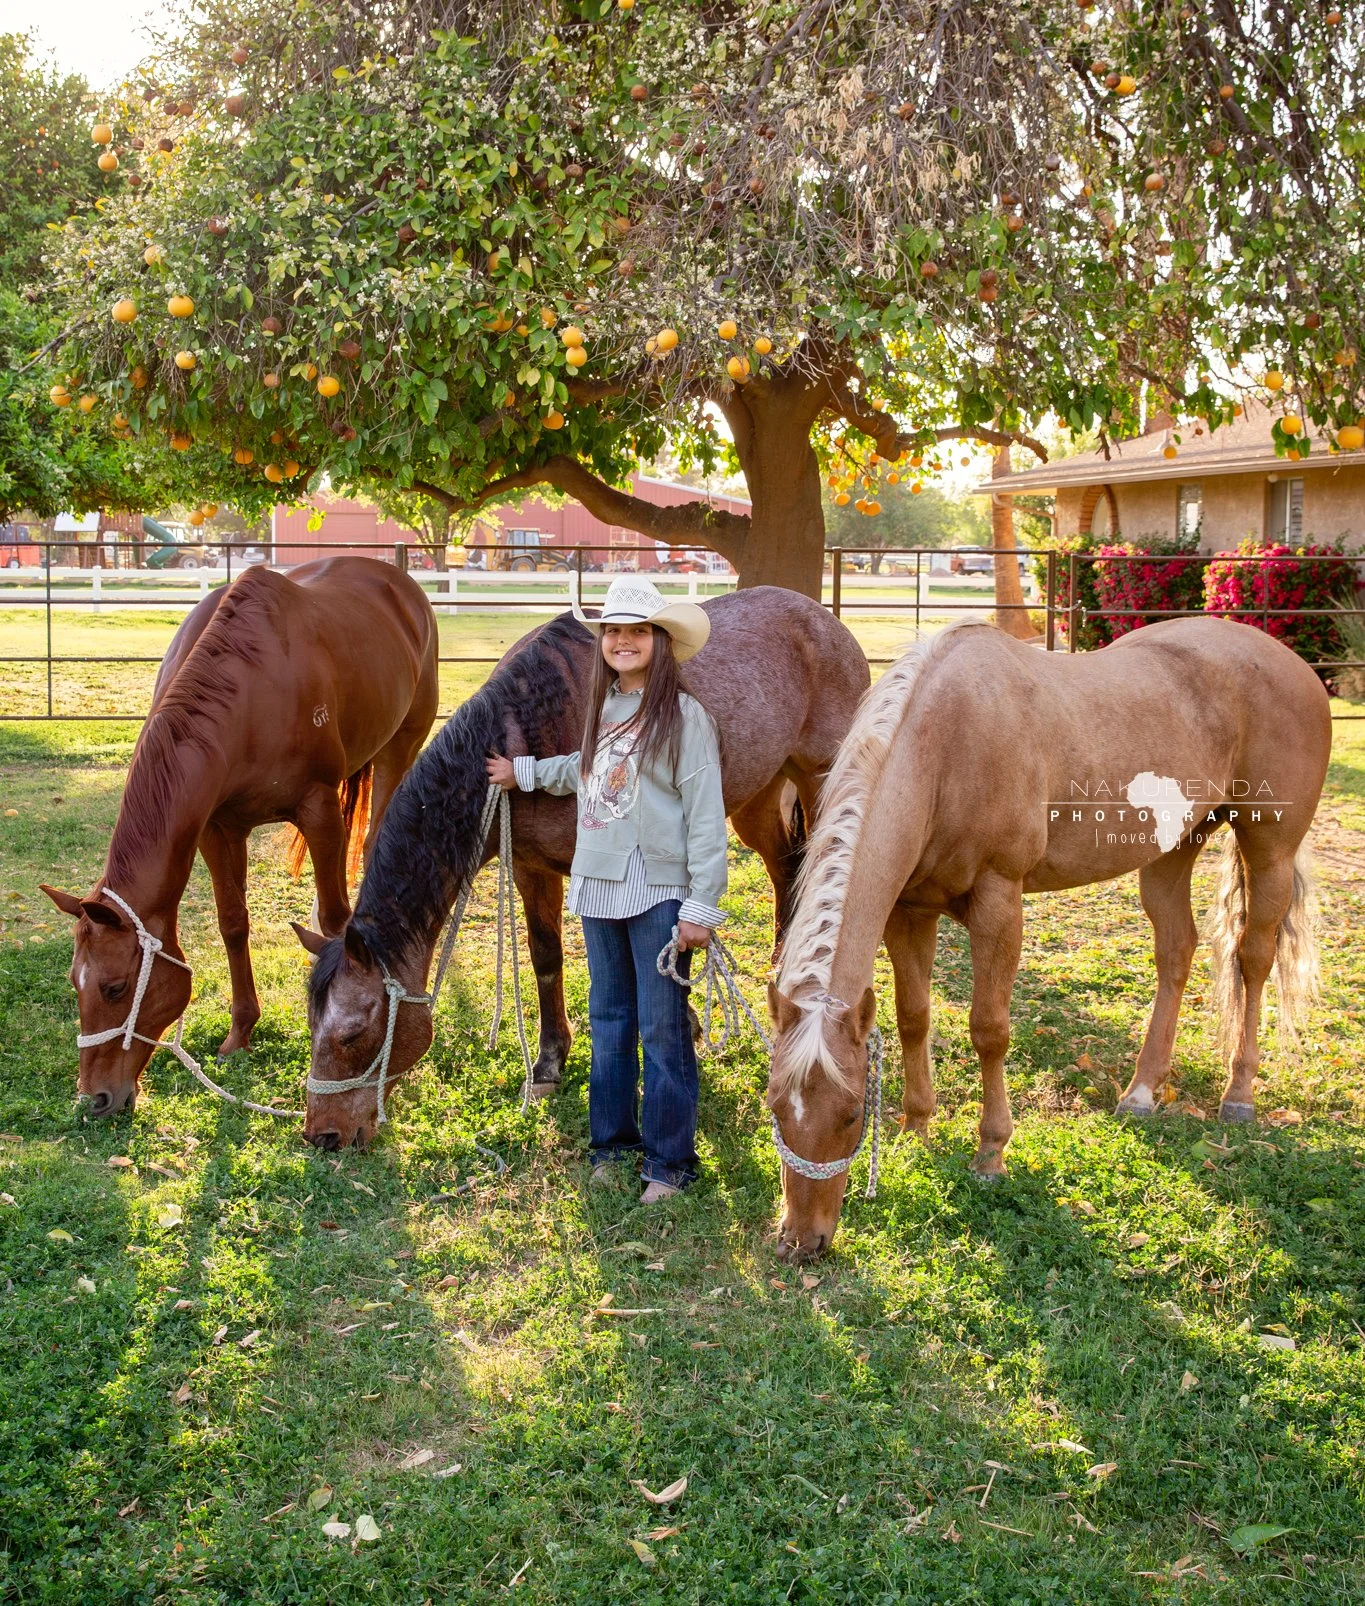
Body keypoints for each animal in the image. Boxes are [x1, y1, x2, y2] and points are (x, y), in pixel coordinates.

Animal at [41, 556, 439, 1116]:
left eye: (115, 988)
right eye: (74, 984)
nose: (94, 1098)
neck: (246, 691)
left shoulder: (320, 813)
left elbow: (336, 919)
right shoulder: (217, 827)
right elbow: (233, 922)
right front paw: (241, 1032)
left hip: (399, 750)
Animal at [295, 587, 871, 1149]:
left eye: (351, 1034)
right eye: (311, 1026)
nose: (323, 1135)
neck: (530, 725)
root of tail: (824, 620)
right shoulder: (532, 870)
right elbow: (546, 957)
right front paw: (549, 1062)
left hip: (820, 781)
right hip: (757, 797)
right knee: (786, 870)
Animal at [765, 617, 1330, 1261]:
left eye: (851, 1116)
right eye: (776, 1108)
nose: (801, 1241)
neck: (945, 746)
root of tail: (1293, 664)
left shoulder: (999, 903)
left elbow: (988, 1030)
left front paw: (990, 1153)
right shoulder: (909, 911)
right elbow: (914, 1017)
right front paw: (917, 1126)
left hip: (1270, 851)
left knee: (1254, 958)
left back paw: (1238, 1095)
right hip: (1173, 848)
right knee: (1176, 953)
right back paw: (1142, 1090)